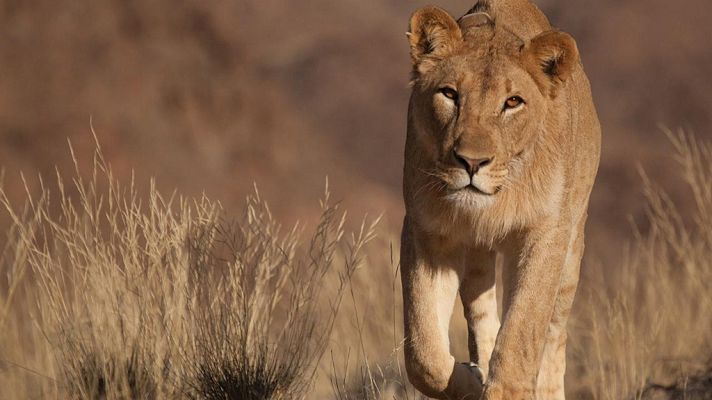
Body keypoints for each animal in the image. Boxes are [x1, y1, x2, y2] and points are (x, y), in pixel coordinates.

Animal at [400, 1, 601, 399]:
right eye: (450, 94)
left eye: (512, 102)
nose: (472, 162)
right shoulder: (426, 232)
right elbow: (424, 354)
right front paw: (471, 380)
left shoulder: (545, 234)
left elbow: (522, 335)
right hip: (477, 257)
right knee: (481, 314)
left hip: (572, 246)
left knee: (554, 335)